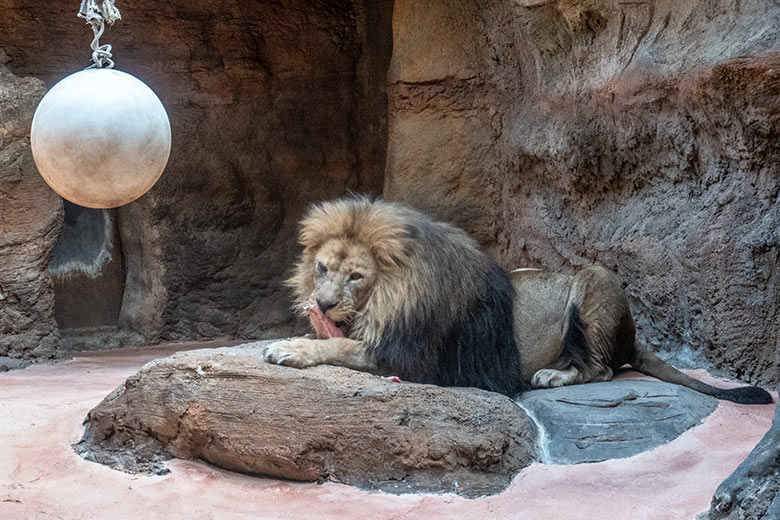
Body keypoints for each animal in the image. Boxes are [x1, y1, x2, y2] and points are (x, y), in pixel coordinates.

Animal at [266, 197, 772, 404]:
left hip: (595, 280)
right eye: (322, 268)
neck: (386, 296)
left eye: (356, 276)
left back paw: (552, 375)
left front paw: (289, 347)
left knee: (601, 369)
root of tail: (635, 335)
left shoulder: (411, 358)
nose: (323, 304)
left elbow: (338, 346)